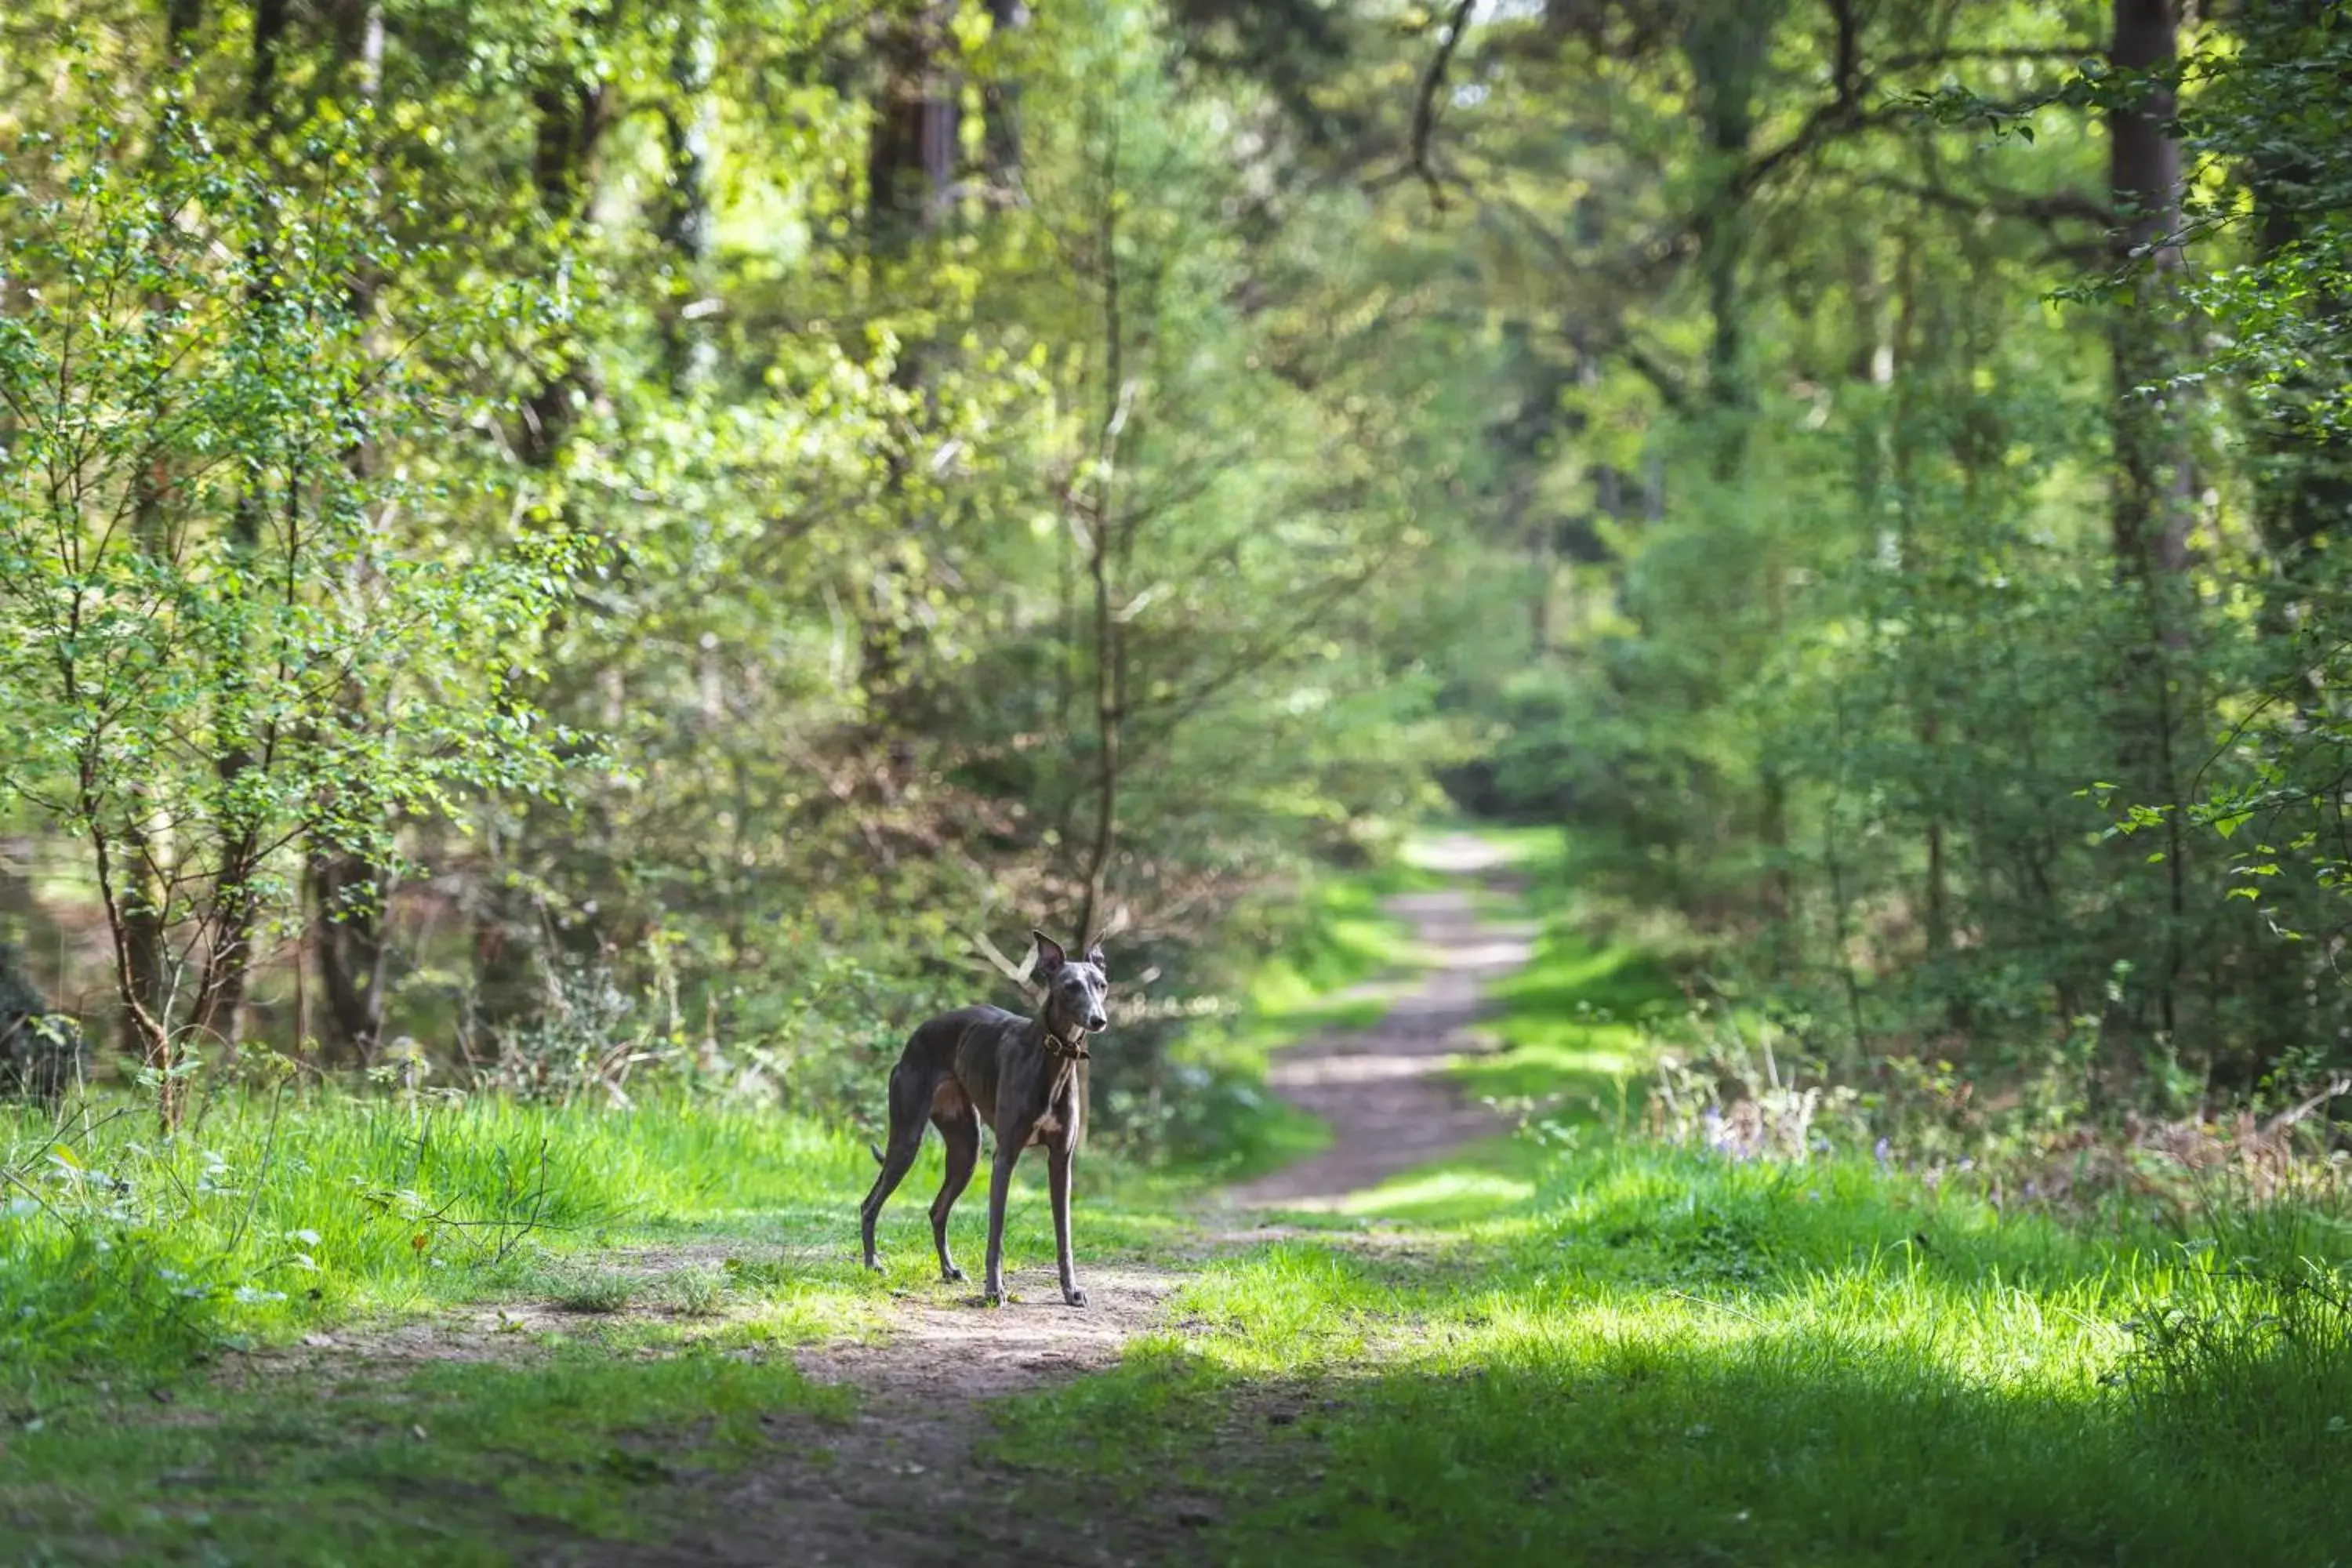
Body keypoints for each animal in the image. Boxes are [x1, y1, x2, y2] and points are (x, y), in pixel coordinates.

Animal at [866, 940, 1110, 1307]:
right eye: (1070, 987)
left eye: (1101, 985)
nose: (1098, 1020)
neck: (1049, 1058)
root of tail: (918, 1034)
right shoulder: (1005, 1157)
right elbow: (996, 1231)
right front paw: (994, 1291)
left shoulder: (1060, 1160)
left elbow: (1064, 1235)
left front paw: (1071, 1291)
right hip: (907, 1141)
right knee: (870, 1204)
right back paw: (872, 1264)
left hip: (966, 1151)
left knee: (937, 1211)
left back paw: (949, 1270)